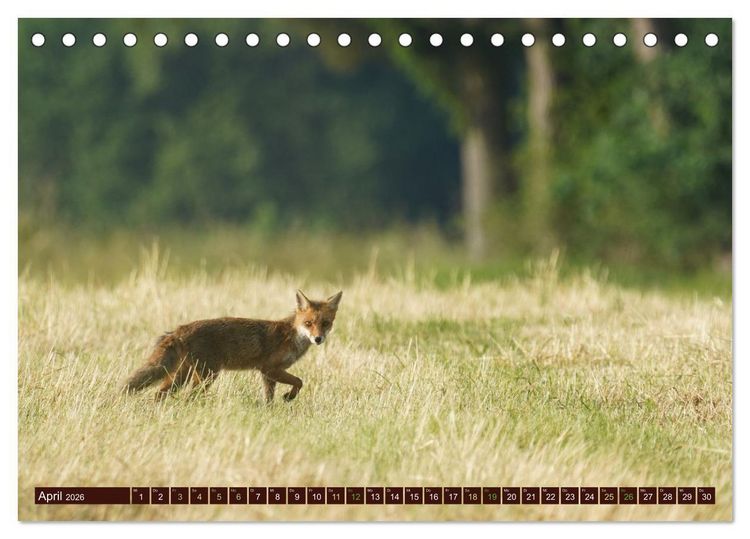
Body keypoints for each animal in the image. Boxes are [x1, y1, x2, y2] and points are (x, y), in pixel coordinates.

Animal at [123, 289, 342, 402]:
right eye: (308, 323)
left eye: (325, 323)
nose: (318, 339)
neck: (291, 336)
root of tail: (180, 329)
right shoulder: (269, 368)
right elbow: (299, 381)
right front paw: (289, 397)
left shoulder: (268, 374)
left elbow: (270, 397)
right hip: (207, 375)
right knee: (188, 396)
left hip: (183, 374)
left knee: (160, 393)